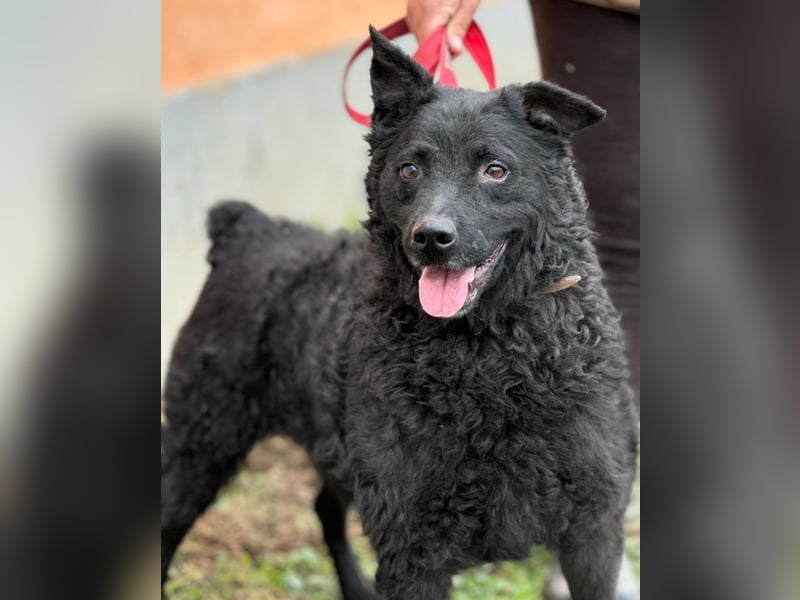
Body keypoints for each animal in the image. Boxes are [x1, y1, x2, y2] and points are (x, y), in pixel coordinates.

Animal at [161, 26, 638, 600]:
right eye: (410, 168)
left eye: (495, 170)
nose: (431, 236)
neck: (490, 360)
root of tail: (250, 228)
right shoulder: (412, 548)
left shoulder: (594, 533)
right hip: (201, 444)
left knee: (324, 507)